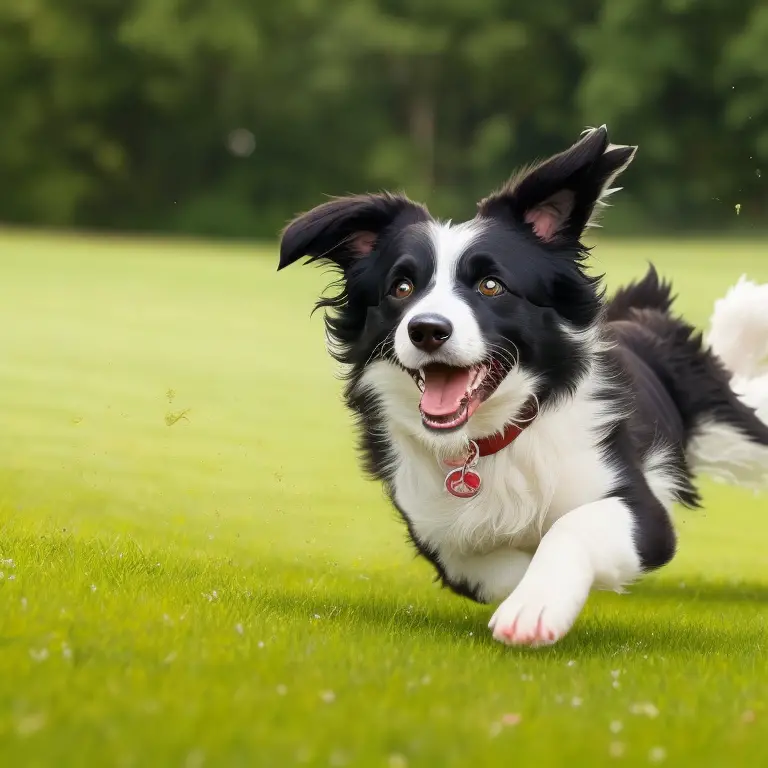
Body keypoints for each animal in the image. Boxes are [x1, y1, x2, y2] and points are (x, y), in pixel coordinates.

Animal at [276, 127, 768, 648]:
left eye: (491, 285)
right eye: (402, 288)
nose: (426, 329)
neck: (492, 441)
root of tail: (641, 315)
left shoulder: (642, 514)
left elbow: (569, 528)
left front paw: (535, 608)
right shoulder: (437, 530)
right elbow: (492, 567)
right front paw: (535, 593)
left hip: (733, 433)